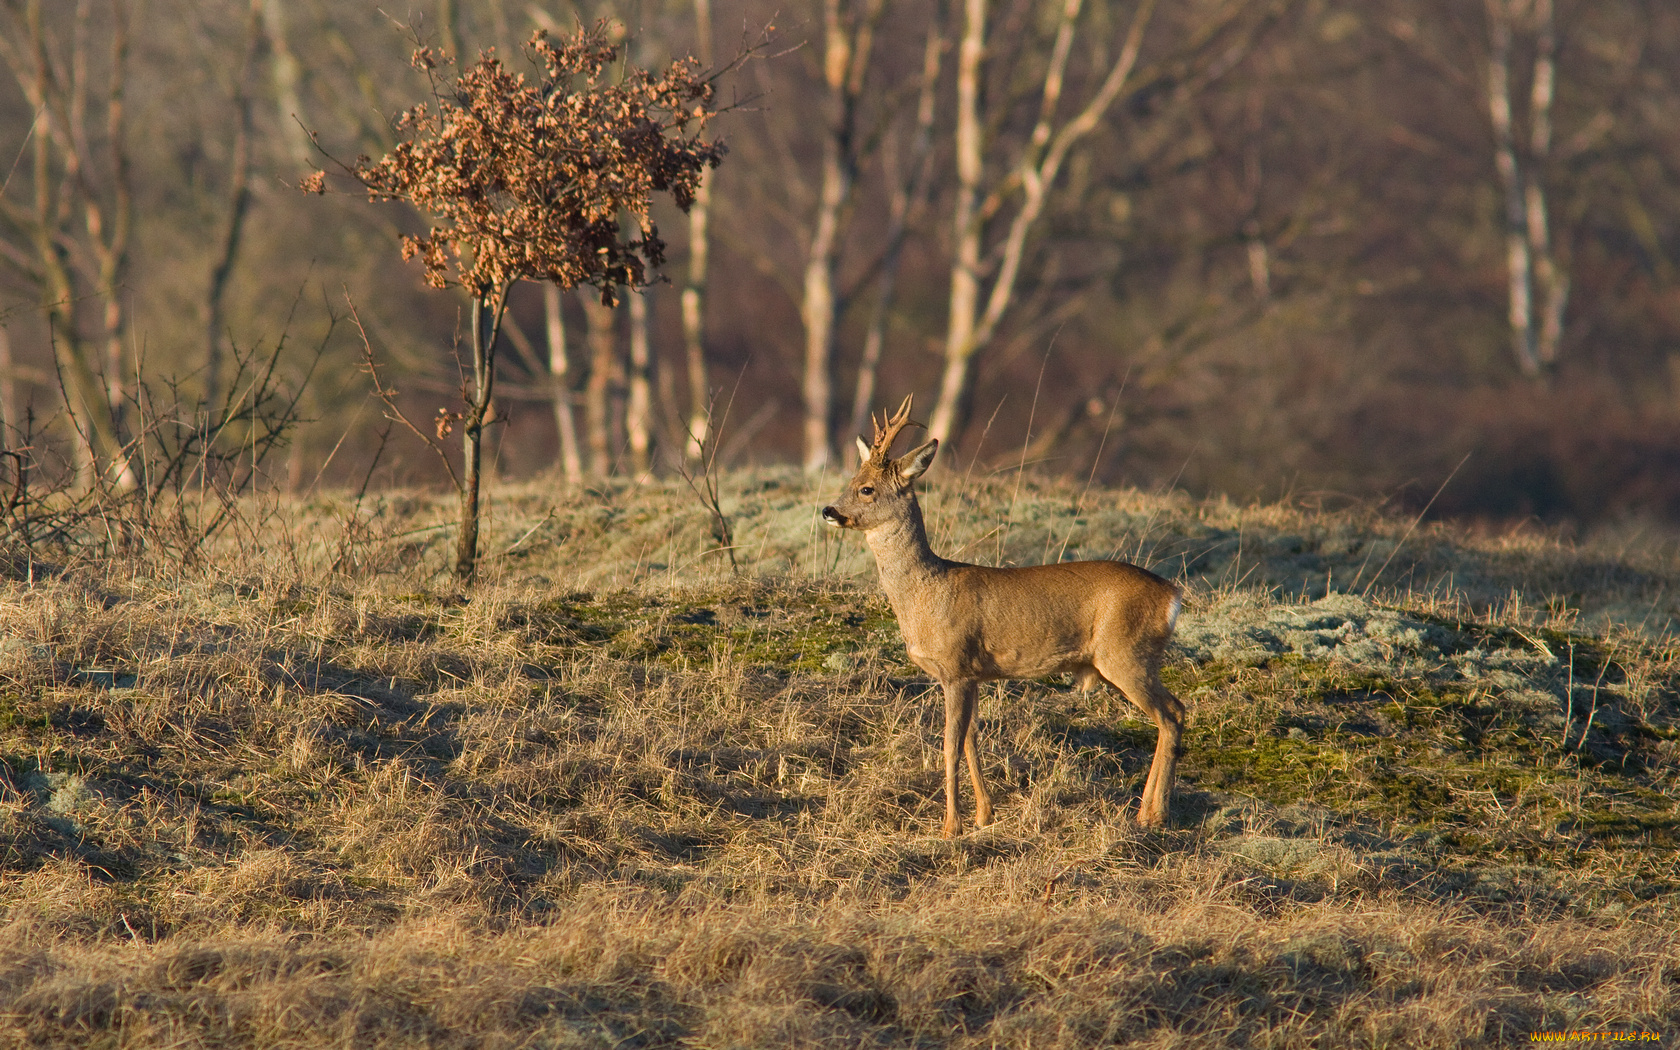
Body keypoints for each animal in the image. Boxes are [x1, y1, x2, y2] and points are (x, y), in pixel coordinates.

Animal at [823, 394, 1189, 836]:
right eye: (850, 480)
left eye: (867, 489)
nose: (828, 510)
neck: (927, 592)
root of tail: (1172, 595)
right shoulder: (973, 674)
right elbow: (971, 742)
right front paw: (984, 815)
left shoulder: (955, 667)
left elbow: (949, 745)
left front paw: (951, 827)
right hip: (1132, 659)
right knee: (1172, 714)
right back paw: (1143, 812)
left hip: (1127, 653)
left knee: (1171, 714)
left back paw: (1155, 815)